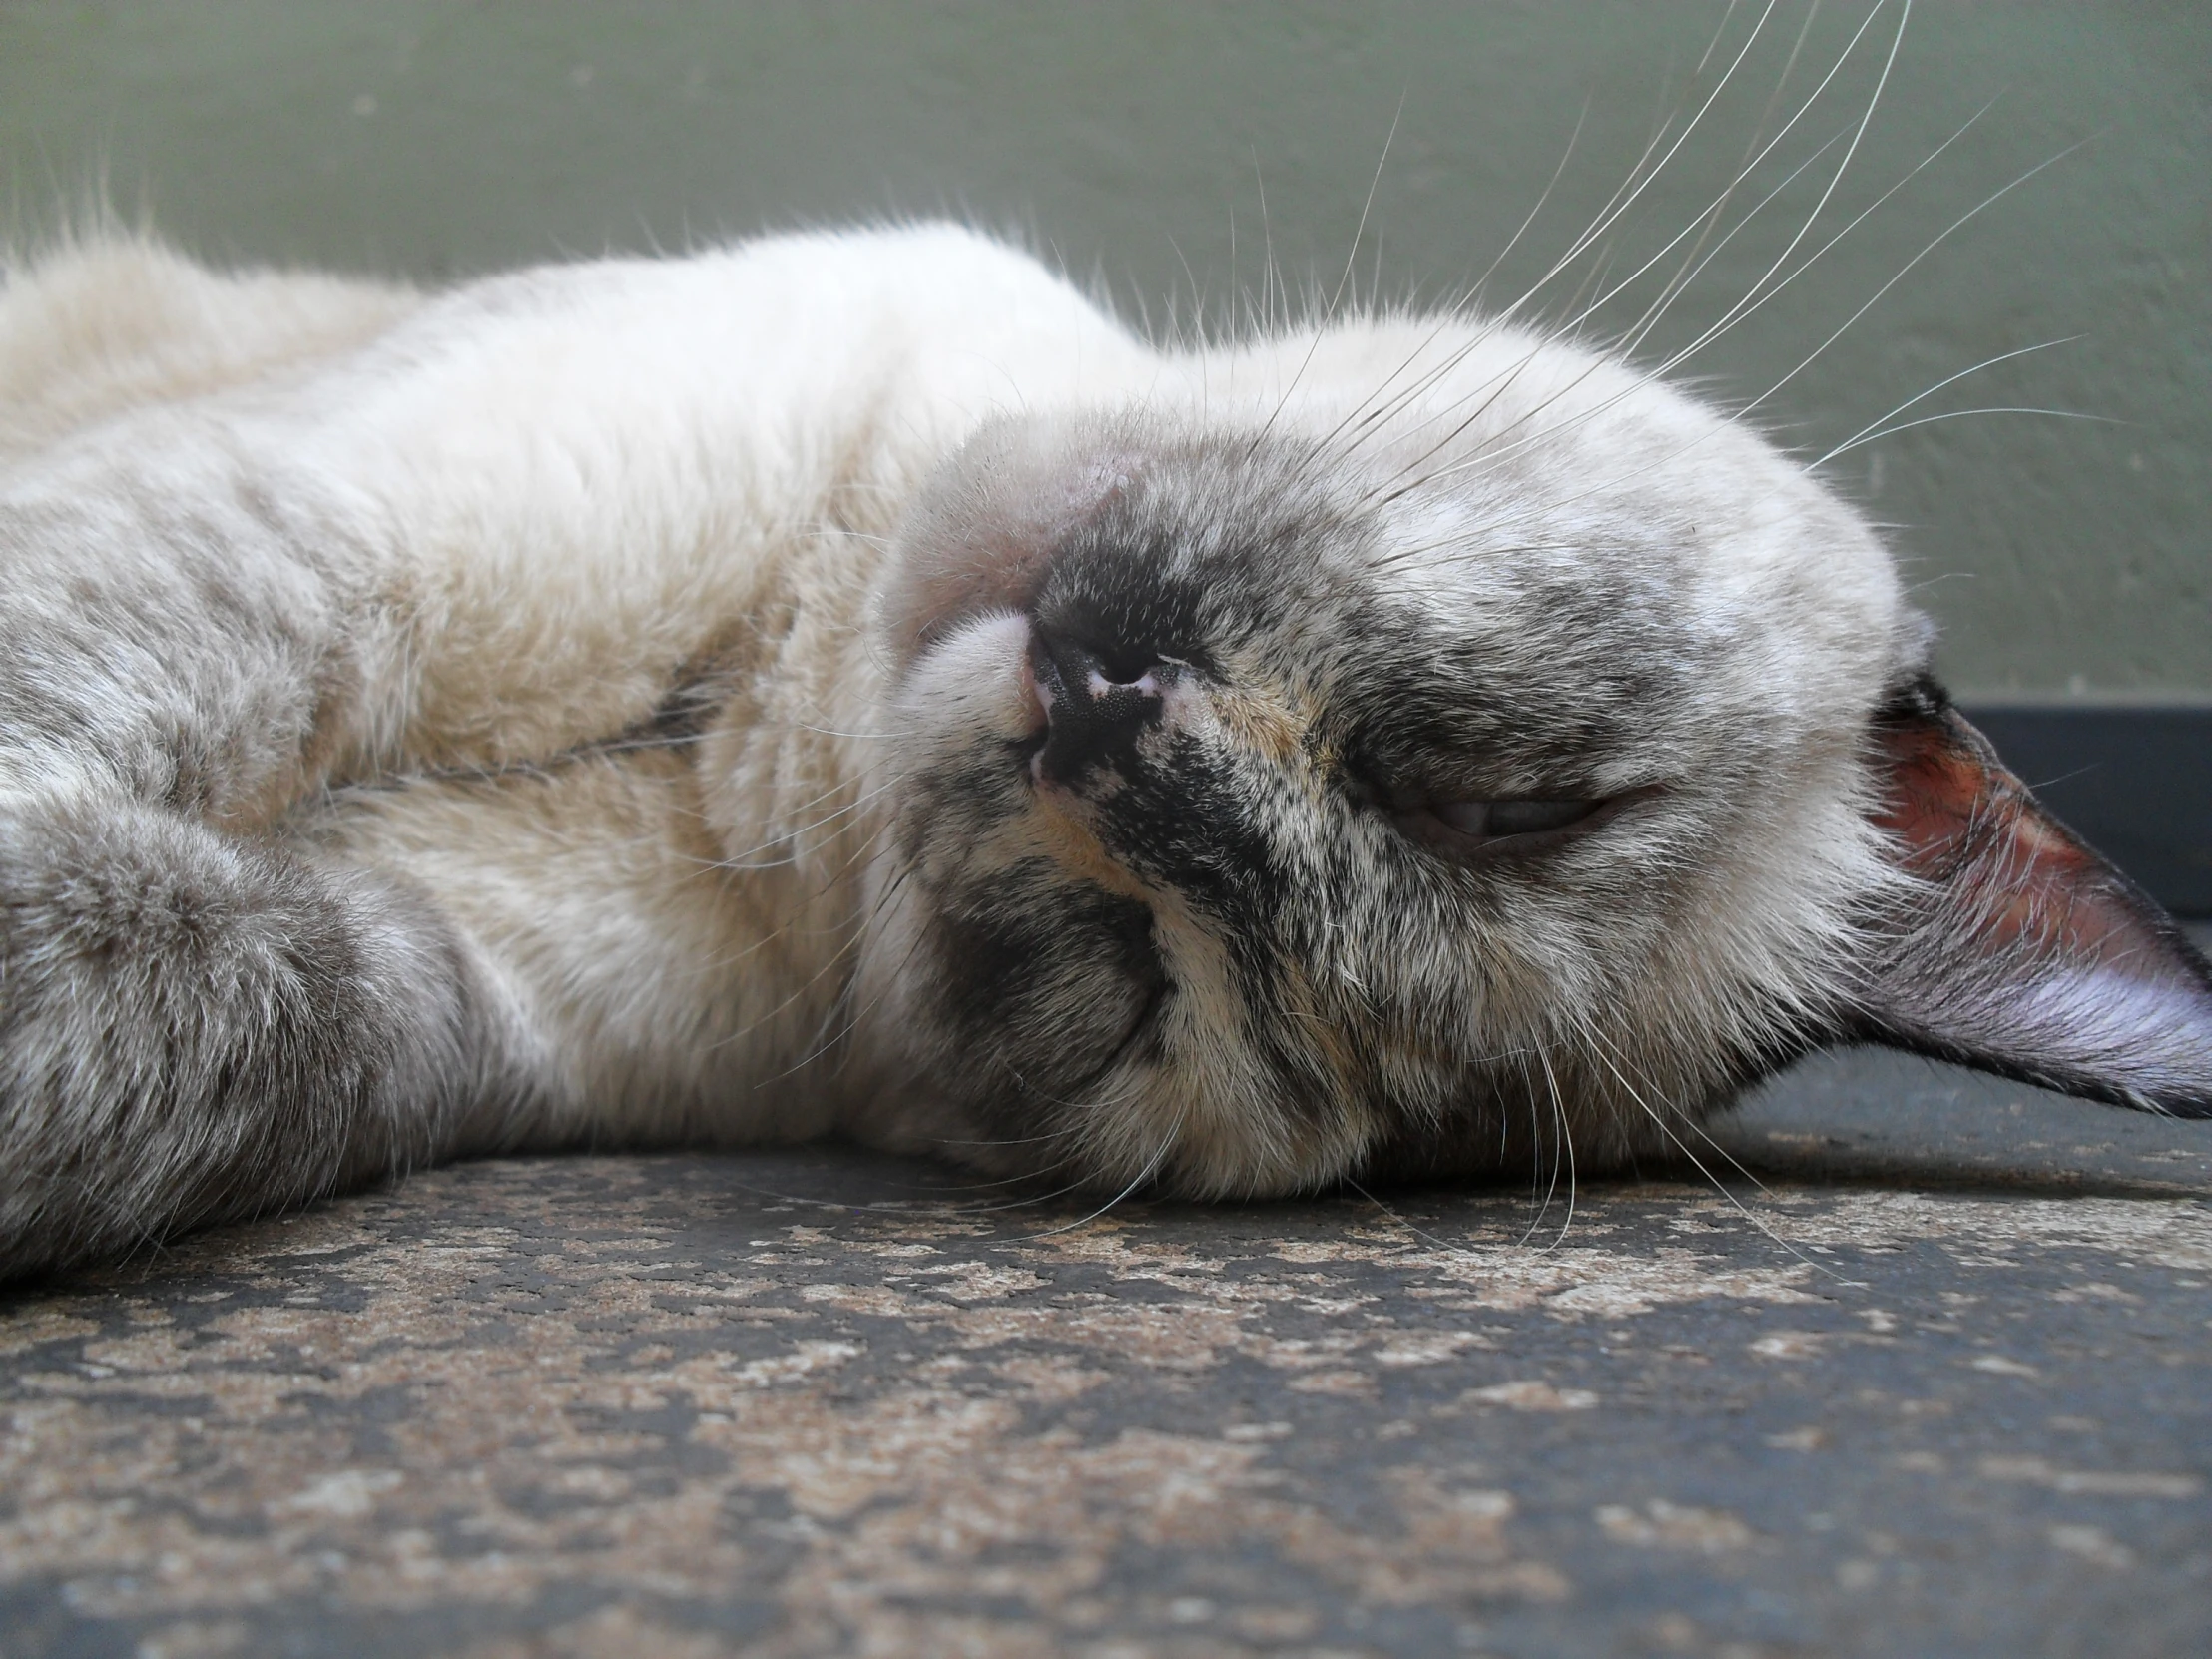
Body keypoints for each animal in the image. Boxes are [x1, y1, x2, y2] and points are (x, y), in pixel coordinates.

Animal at [0, 221, 2203, 1283]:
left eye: (1148, 976)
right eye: (1505, 798)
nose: (1094, 722)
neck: (762, 693)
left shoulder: (441, 973)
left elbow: (215, 993)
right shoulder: (345, 539)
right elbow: (146, 675)